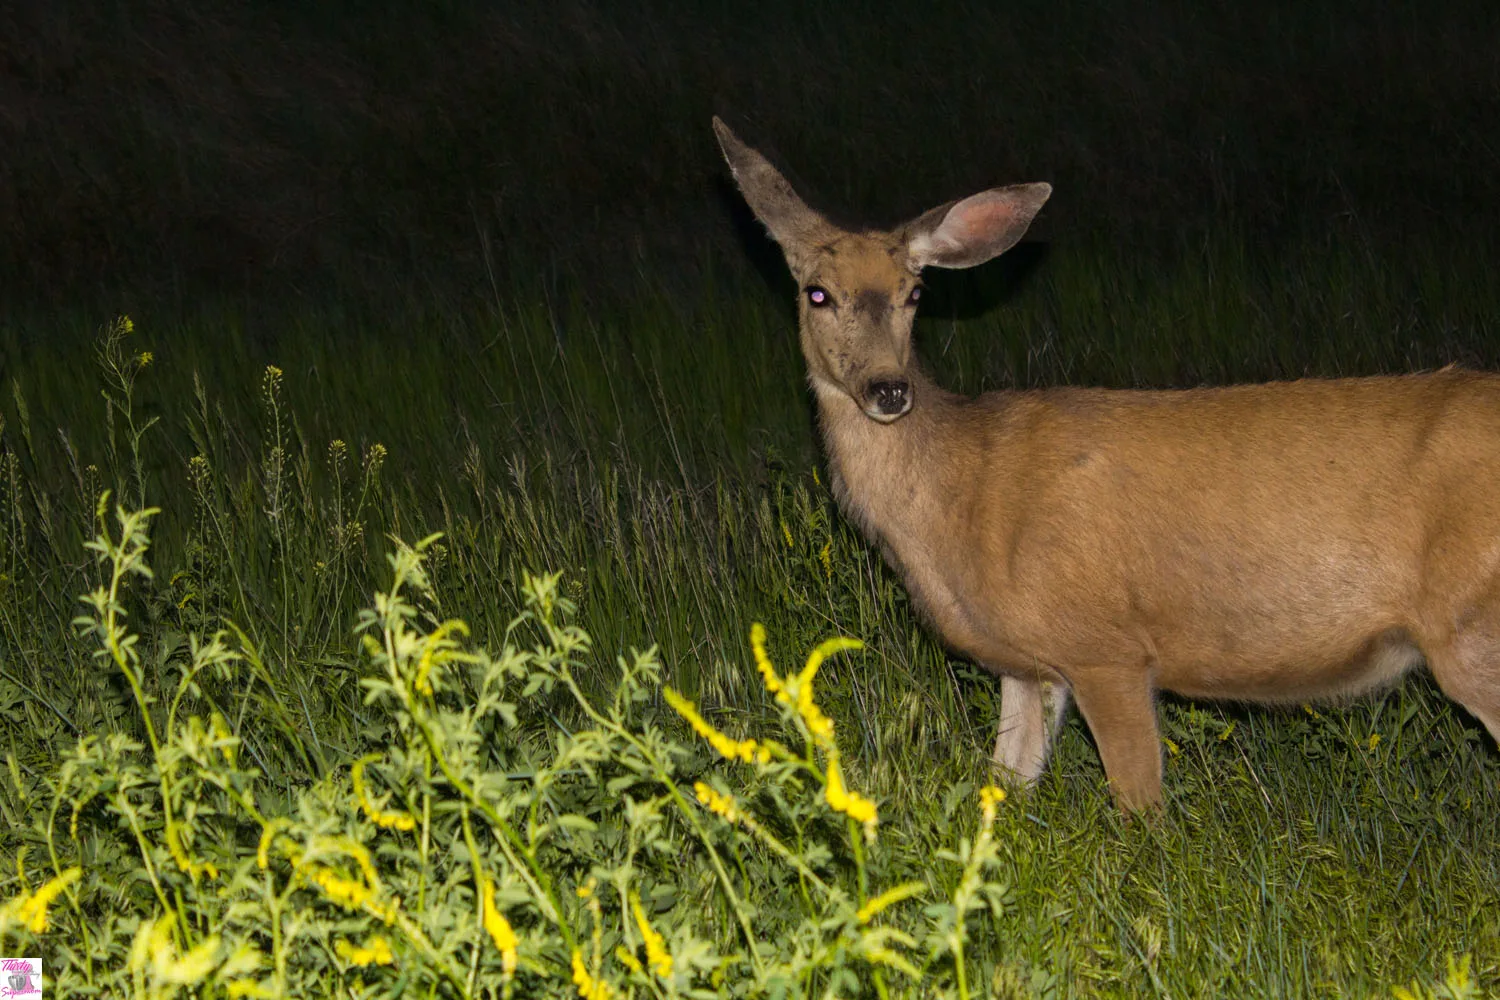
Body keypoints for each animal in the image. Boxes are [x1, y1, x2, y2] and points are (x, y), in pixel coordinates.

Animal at [711, 115, 1500, 815]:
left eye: (914, 294)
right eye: (818, 293)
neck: (958, 497)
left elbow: (1139, 805)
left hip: (1471, 628)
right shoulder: (1028, 664)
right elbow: (1005, 786)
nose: (888, 390)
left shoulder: (1104, 644)